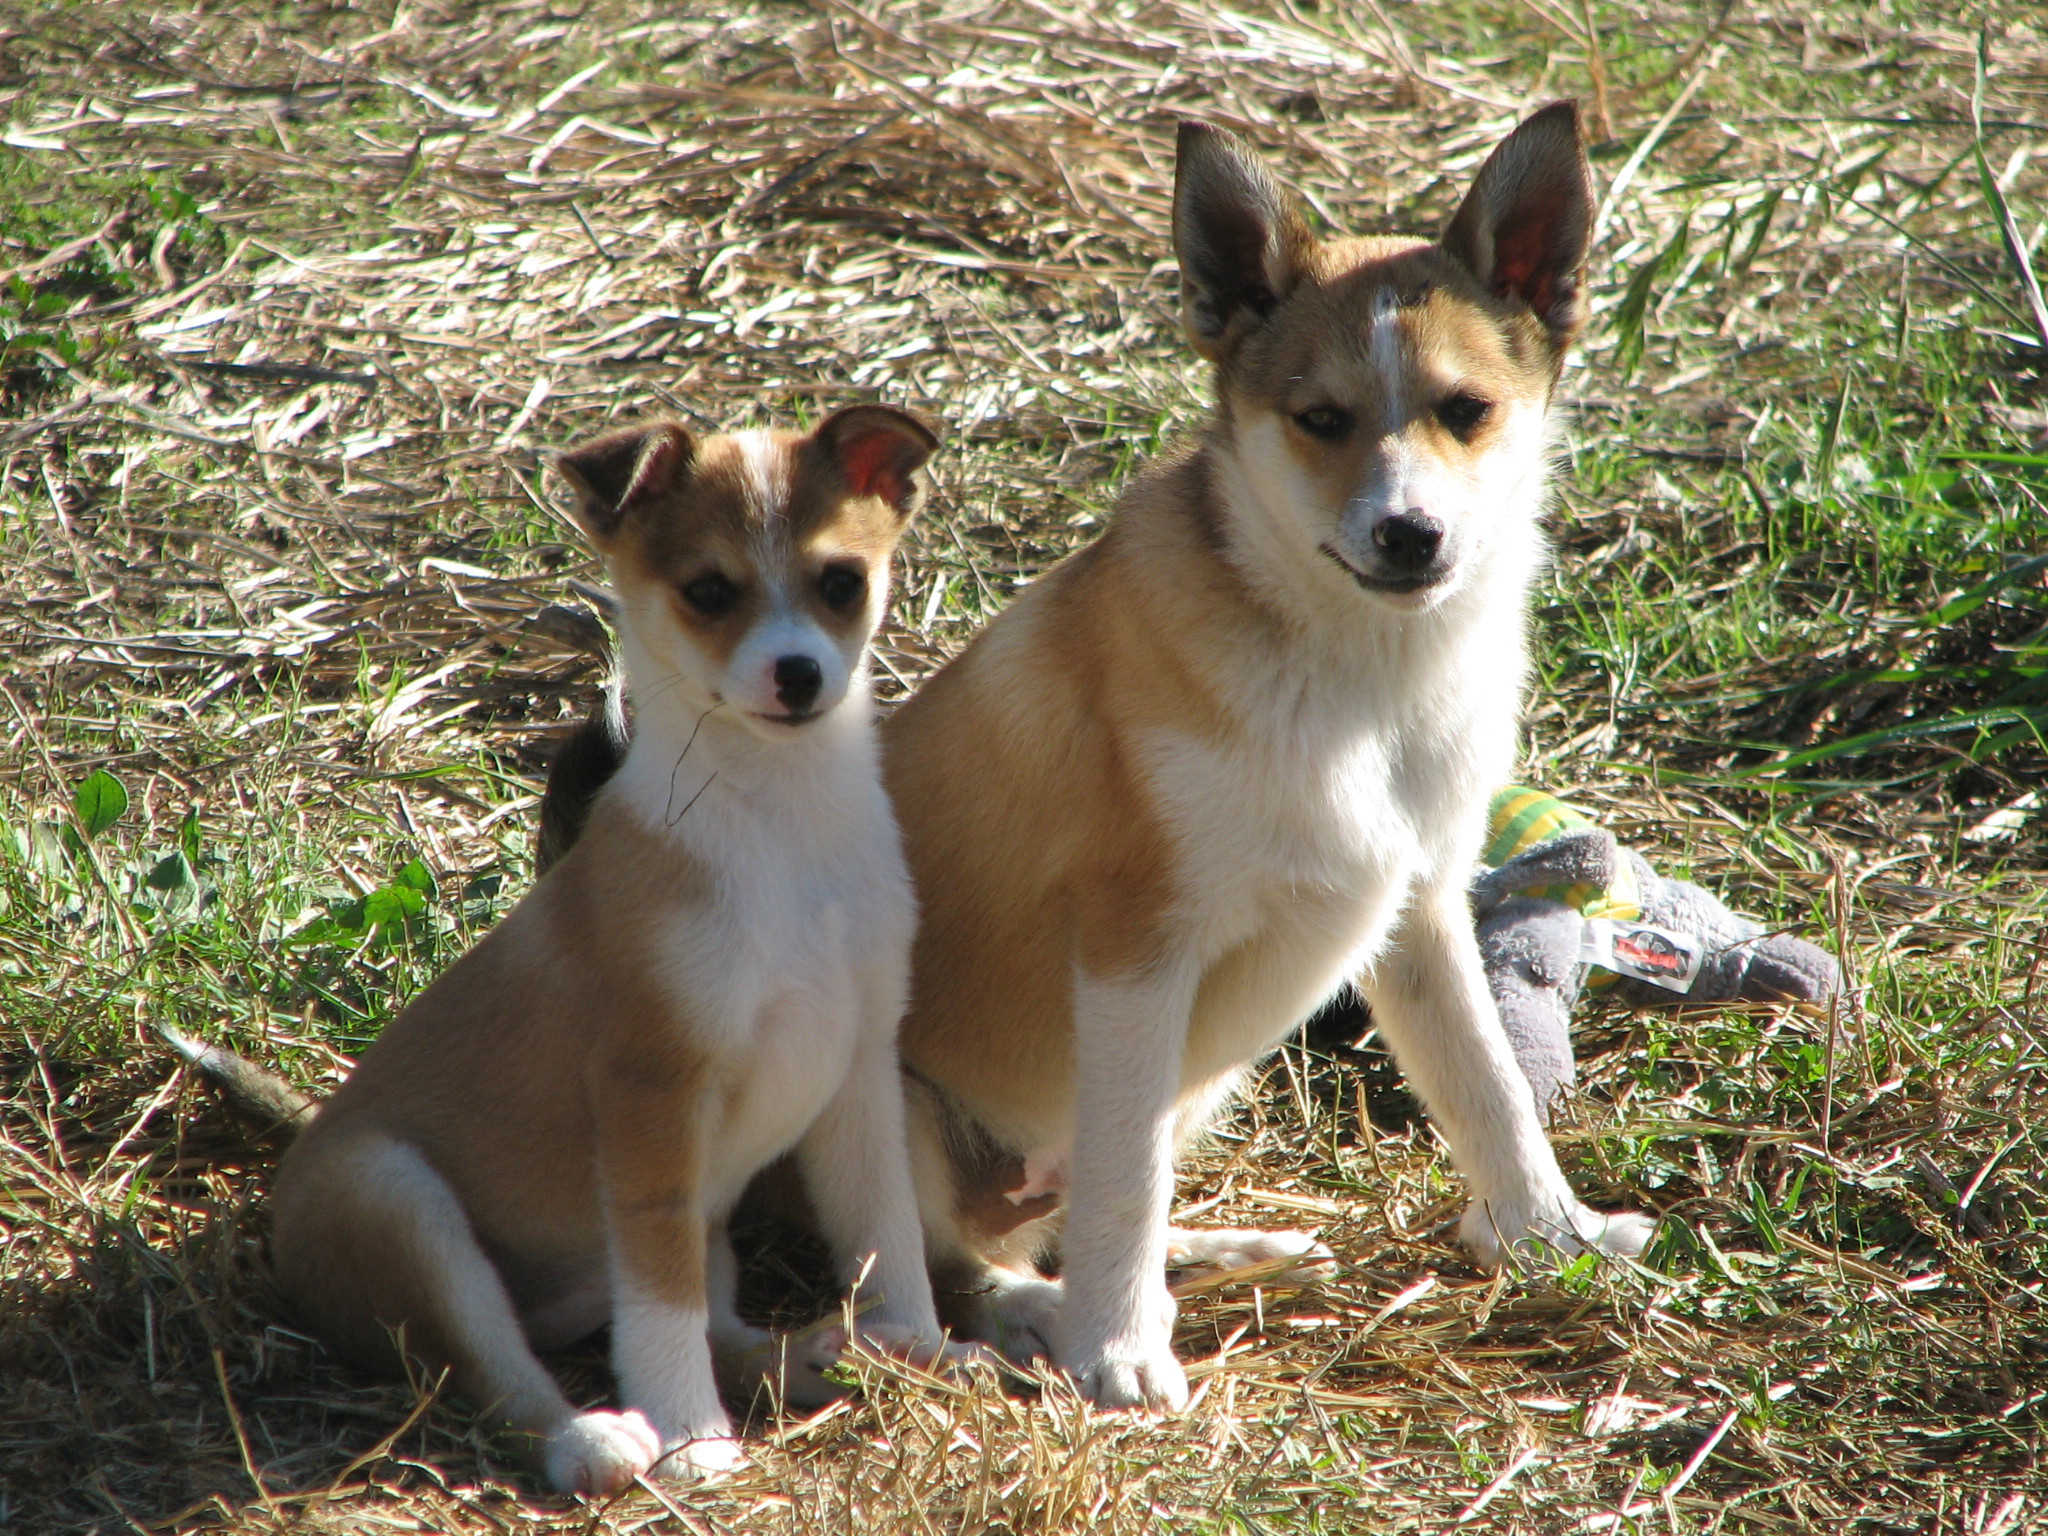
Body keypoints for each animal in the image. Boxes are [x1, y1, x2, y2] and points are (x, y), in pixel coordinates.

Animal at [262, 403, 950, 1499]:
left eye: (841, 580)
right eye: (708, 590)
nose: (798, 675)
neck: (778, 822)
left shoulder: (857, 1072)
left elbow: (884, 1230)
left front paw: (917, 1347)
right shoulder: (650, 1095)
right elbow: (661, 1306)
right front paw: (694, 1441)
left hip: (691, 1223)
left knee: (706, 1321)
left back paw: (808, 1355)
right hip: (396, 1202)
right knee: (502, 1373)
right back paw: (600, 1440)